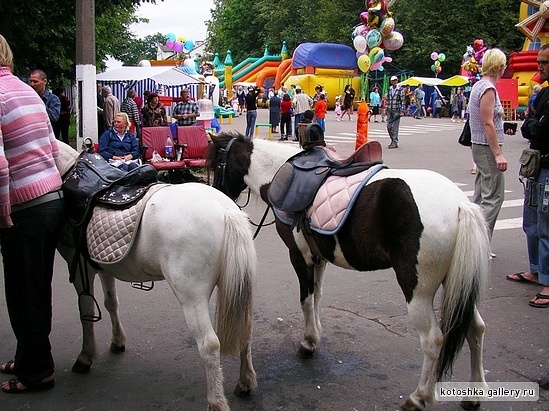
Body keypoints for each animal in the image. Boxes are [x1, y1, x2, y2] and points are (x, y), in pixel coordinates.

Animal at [55, 140, 256, 410]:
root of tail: (227, 212)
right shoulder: (104, 265)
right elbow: (111, 303)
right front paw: (117, 341)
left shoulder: (79, 267)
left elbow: (85, 310)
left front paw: (85, 357)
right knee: (246, 331)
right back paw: (244, 383)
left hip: (192, 298)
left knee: (210, 344)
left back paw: (216, 401)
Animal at [206, 134, 488, 410]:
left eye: (216, 165)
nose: (219, 196)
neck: (278, 174)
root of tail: (460, 205)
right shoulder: (318, 258)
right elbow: (316, 298)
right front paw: (314, 338)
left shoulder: (299, 257)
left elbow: (306, 300)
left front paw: (307, 342)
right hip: (457, 283)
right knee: (475, 328)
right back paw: (474, 394)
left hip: (417, 292)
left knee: (433, 341)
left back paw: (418, 397)